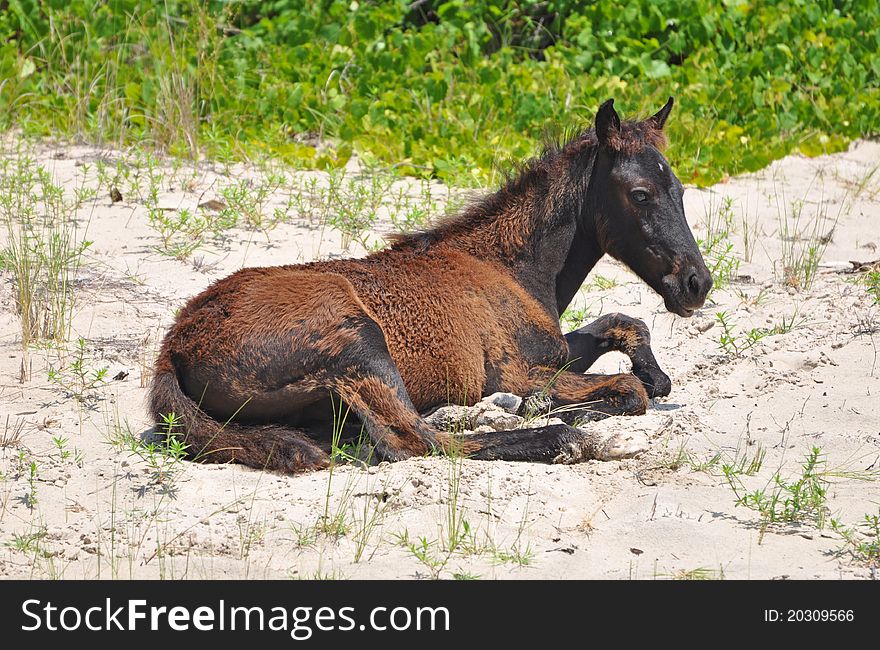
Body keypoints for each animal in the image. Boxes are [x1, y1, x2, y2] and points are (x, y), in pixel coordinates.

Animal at [148, 96, 712, 470]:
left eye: (681, 191)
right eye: (640, 194)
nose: (696, 284)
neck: (510, 268)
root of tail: (174, 346)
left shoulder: (552, 351)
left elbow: (626, 328)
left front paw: (654, 370)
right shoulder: (518, 371)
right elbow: (629, 391)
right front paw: (552, 408)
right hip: (360, 342)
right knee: (416, 442)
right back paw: (553, 434)